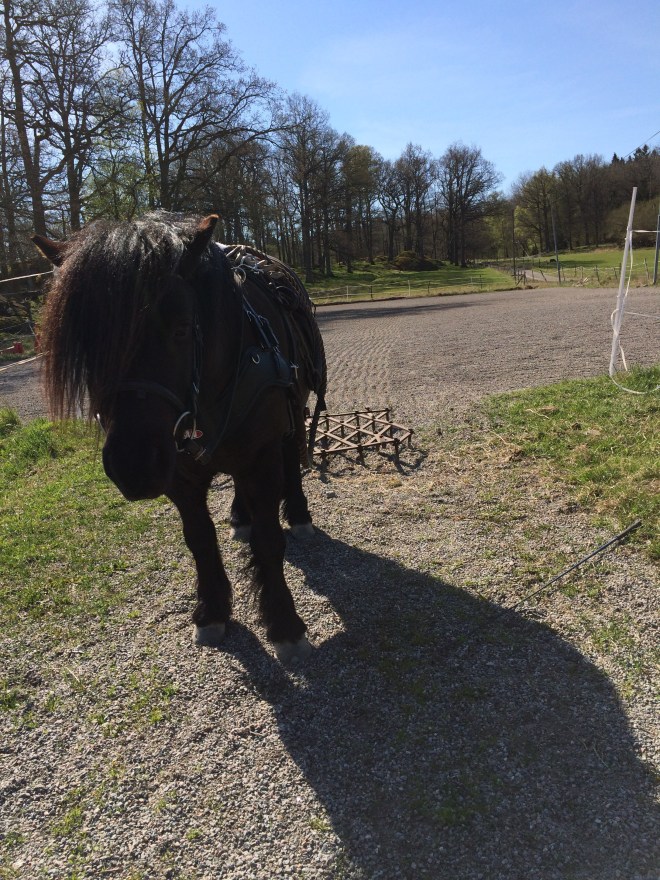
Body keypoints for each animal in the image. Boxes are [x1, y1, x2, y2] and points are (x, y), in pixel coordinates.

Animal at [33, 213, 327, 662]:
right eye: (86, 343)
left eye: (183, 329)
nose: (133, 466)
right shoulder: (178, 474)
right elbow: (200, 540)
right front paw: (211, 611)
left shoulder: (261, 454)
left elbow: (268, 540)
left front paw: (283, 622)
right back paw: (240, 514)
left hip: (293, 412)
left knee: (292, 458)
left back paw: (297, 513)